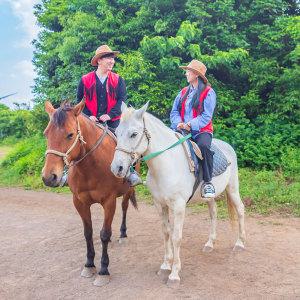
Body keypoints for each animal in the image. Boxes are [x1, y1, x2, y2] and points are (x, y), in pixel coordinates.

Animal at [42, 100, 137, 286]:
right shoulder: (79, 202)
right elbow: (88, 233)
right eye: (46, 134)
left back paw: (123, 234)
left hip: (128, 191)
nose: (49, 177)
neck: (91, 166)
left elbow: (104, 234)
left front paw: (103, 270)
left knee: (124, 208)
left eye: (70, 135)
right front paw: (89, 265)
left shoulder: (109, 201)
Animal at [110, 103, 246, 286]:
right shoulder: (159, 204)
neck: (167, 164)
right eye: (117, 132)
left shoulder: (179, 206)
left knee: (240, 209)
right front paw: (165, 266)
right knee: (214, 213)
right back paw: (210, 244)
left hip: (232, 189)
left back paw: (240, 243)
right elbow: (166, 233)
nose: (116, 168)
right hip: (210, 197)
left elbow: (176, 237)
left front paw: (174, 274)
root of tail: (228, 147)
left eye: (134, 134)